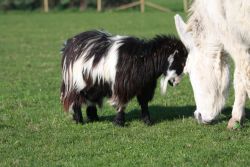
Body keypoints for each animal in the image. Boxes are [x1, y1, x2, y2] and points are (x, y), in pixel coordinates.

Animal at [59, 30, 187, 126]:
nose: (177, 82)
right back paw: (79, 120)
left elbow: (144, 104)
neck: (143, 59)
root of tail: (69, 44)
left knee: (90, 99)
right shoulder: (121, 86)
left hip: (93, 84)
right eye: (180, 62)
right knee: (75, 100)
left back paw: (93, 117)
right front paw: (119, 122)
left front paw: (147, 121)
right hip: (75, 83)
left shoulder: (145, 87)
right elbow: (121, 104)